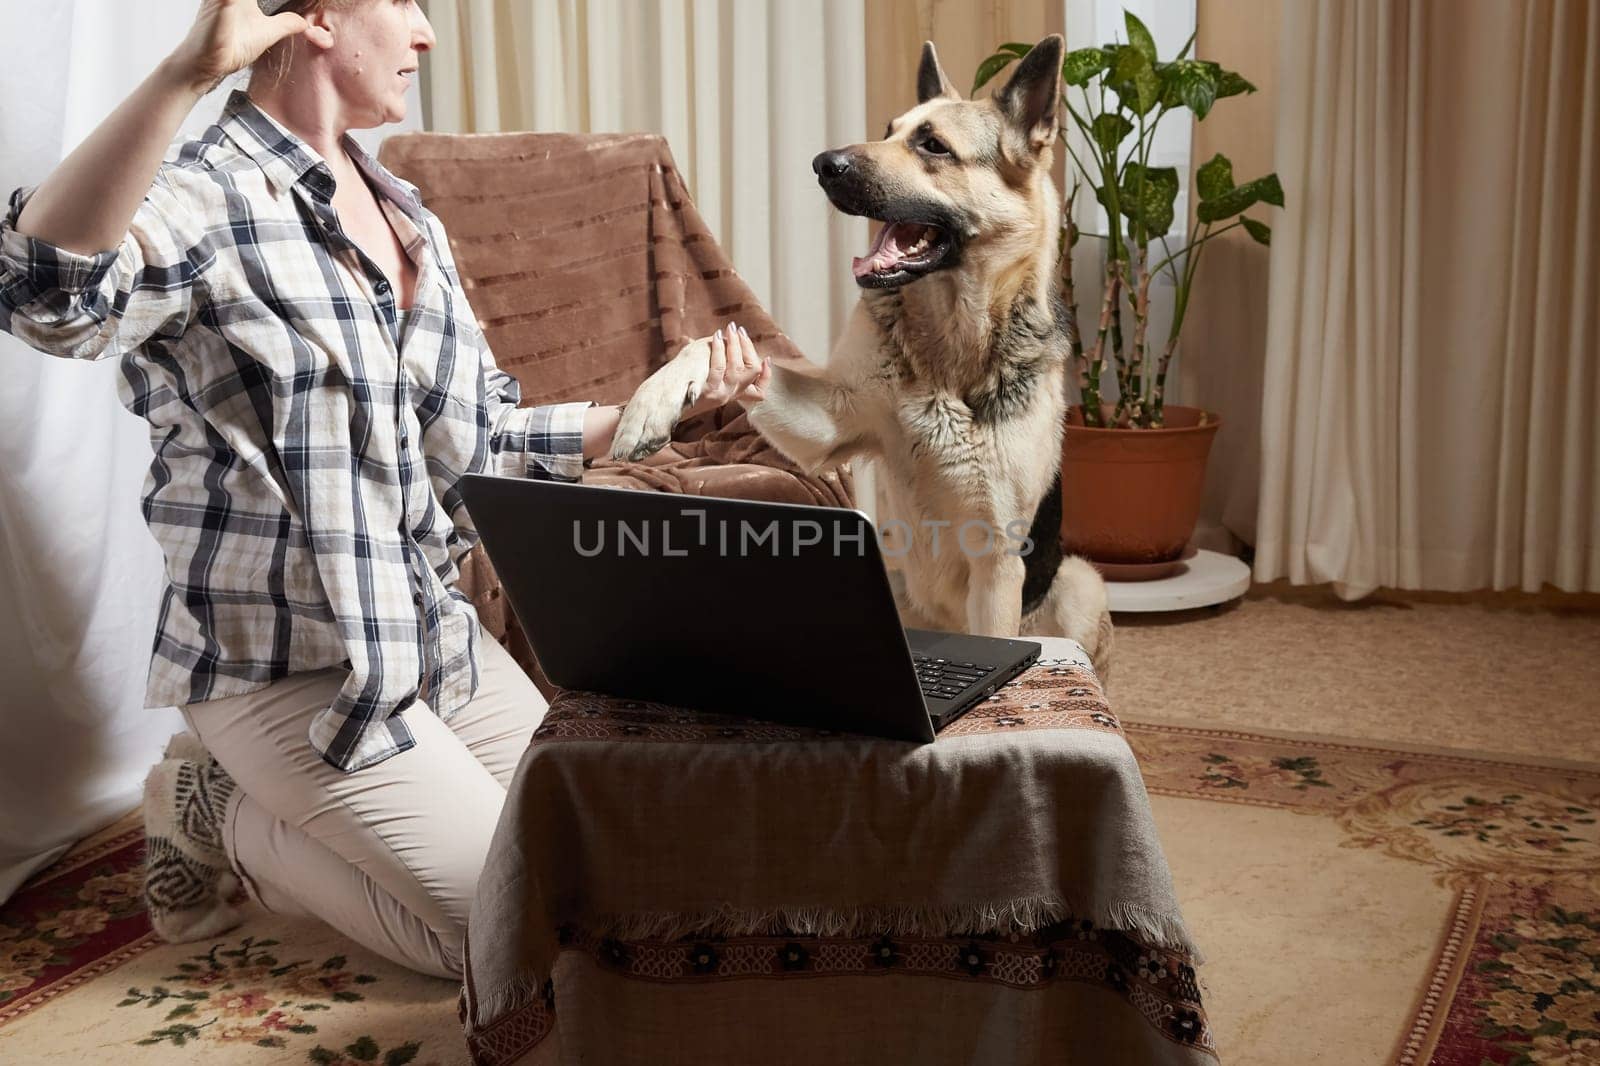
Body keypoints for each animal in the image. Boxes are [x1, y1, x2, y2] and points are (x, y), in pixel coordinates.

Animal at [608, 37, 1113, 675]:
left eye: (932, 145)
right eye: (888, 131)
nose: (823, 163)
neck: (948, 345)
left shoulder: (997, 562)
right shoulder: (828, 423)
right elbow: (711, 344)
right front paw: (651, 405)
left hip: (1078, 583)